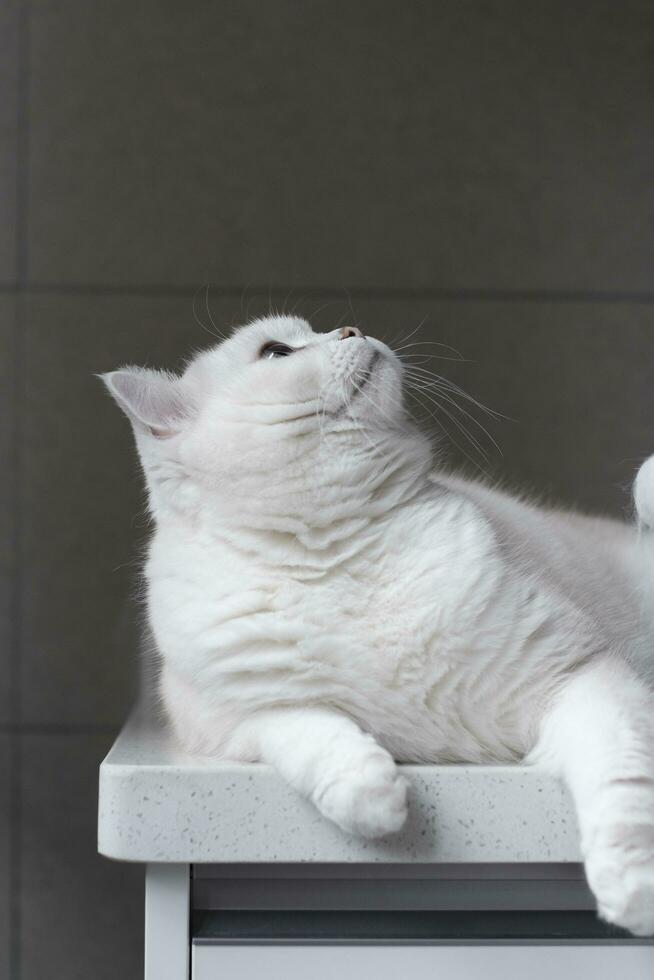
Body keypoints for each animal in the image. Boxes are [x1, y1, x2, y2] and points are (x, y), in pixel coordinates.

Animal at [104, 318, 654, 936]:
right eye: (276, 351)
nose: (352, 328)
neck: (337, 556)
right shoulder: (221, 720)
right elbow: (303, 727)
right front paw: (374, 794)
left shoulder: (581, 676)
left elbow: (621, 785)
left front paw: (633, 890)